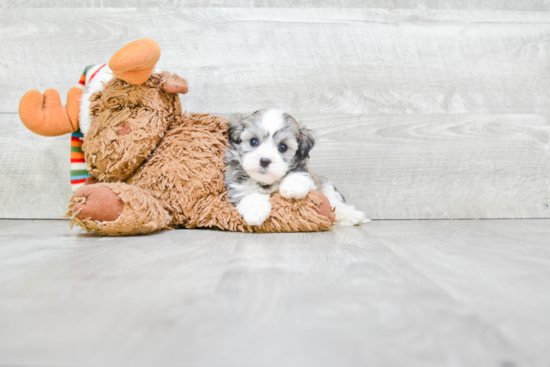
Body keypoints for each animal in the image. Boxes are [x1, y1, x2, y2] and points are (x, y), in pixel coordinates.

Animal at [224, 108, 370, 227]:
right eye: (253, 141)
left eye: (283, 147)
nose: (264, 161)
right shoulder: (235, 182)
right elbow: (247, 193)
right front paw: (255, 211)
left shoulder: (305, 172)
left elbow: (298, 175)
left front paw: (292, 189)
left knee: (336, 204)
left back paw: (353, 216)